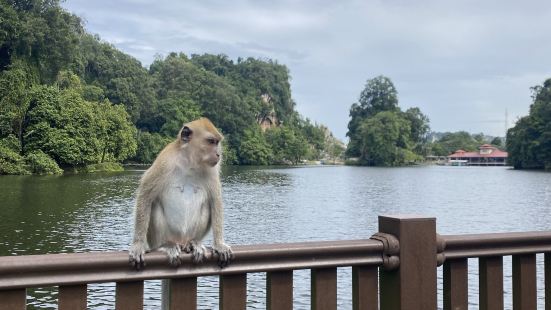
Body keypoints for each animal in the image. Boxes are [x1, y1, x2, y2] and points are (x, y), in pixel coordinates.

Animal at [129, 117, 233, 268]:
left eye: (217, 142)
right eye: (211, 141)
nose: (218, 154)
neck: (189, 162)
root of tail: (181, 240)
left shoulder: (212, 170)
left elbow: (215, 201)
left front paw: (219, 244)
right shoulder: (164, 161)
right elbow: (145, 195)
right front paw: (137, 245)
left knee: (207, 206)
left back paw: (193, 243)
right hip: (159, 239)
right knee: (153, 205)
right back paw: (166, 245)